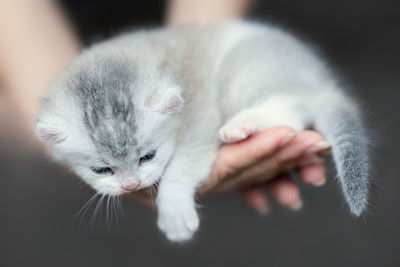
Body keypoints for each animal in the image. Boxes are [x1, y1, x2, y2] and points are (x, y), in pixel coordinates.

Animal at [36, 21, 370, 243]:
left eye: (148, 156)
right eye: (101, 169)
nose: (131, 185)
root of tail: (321, 81)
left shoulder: (200, 119)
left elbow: (181, 168)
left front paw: (173, 215)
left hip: (242, 75)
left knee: (293, 111)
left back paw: (243, 124)